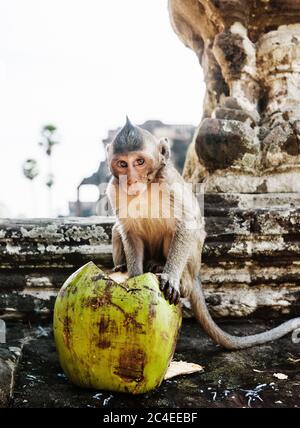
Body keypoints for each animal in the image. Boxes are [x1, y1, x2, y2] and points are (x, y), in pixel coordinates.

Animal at [106, 115, 300, 350]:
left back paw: (163, 268)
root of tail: (195, 274)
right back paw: (124, 266)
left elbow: (187, 222)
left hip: (190, 266)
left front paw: (169, 276)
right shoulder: (114, 190)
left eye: (139, 162)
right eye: (122, 164)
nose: (131, 179)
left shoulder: (169, 183)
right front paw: (134, 276)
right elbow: (128, 231)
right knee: (117, 229)